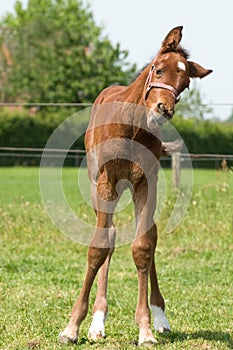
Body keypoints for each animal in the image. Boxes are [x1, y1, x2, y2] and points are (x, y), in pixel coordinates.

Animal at [59, 26, 212, 344]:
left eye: (185, 84)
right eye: (158, 69)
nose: (163, 109)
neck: (130, 126)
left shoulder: (146, 181)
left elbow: (143, 246)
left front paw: (146, 328)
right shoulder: (106, 182)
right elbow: (98, 247)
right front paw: (72, 327)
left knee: (149, 235)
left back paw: (159, 317)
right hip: (100, 186)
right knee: (109, 234)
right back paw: (97, 322)